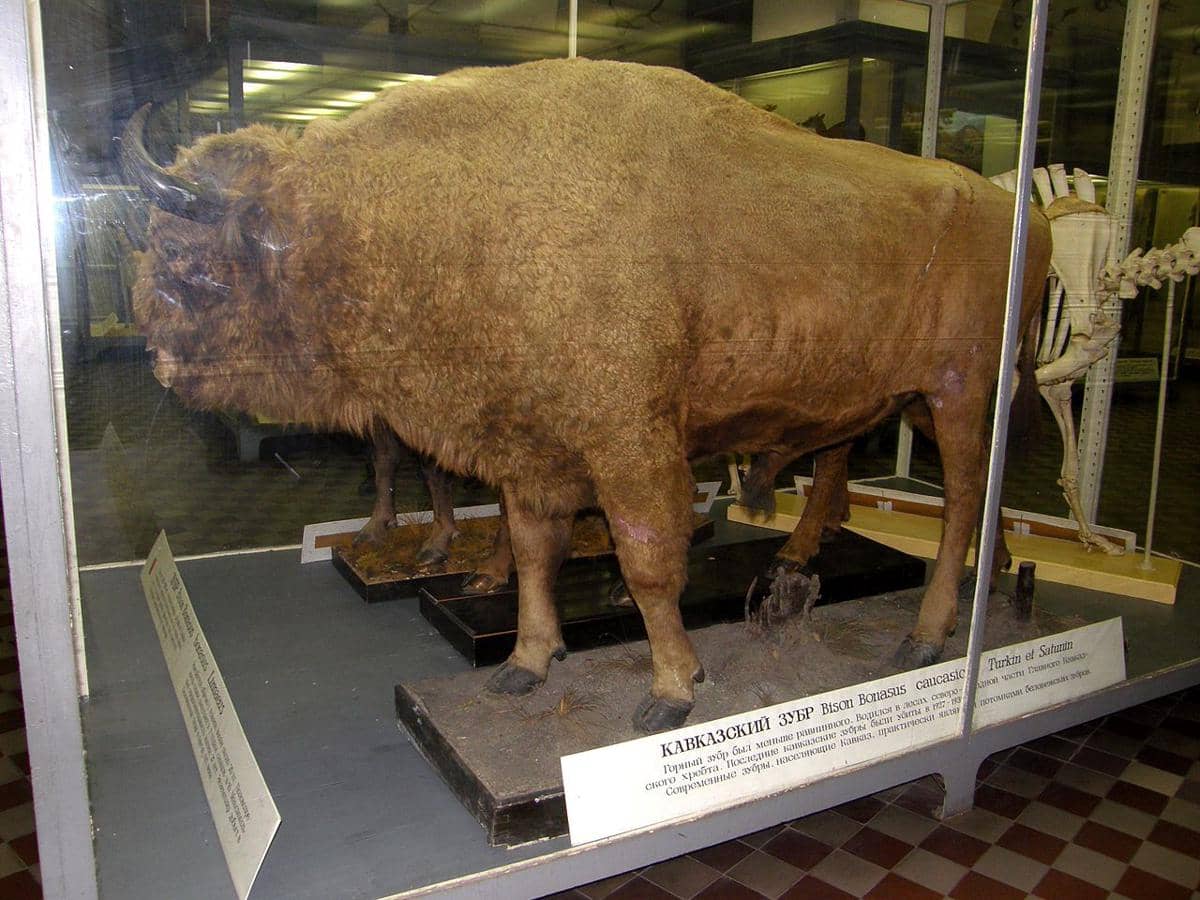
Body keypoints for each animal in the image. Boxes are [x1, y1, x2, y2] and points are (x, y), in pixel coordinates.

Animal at [124, 58, 1050, 732]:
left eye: (190, 265)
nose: (159, 359)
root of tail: (1019, 212)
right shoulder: (531, 451)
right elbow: (536, 551)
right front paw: (526, 665)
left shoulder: (628, 443)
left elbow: (647, 564)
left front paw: (671, 689)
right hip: (913, 397)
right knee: (896, 477)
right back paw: (944, 576)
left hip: (958, 393)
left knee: (962, 499)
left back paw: (926, 635)